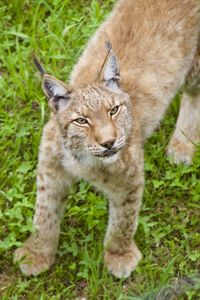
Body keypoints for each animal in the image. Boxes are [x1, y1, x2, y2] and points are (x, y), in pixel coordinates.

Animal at [14, 0, 200, 278]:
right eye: (82, 121)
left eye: (114, 110)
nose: (109, 142)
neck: (82, 158)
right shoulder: (50, 166)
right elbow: (44, 214)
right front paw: (37, 253)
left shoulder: (130, 179)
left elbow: (124, 221)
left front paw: (119, 256)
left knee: (194, 94)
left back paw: (183, 145)